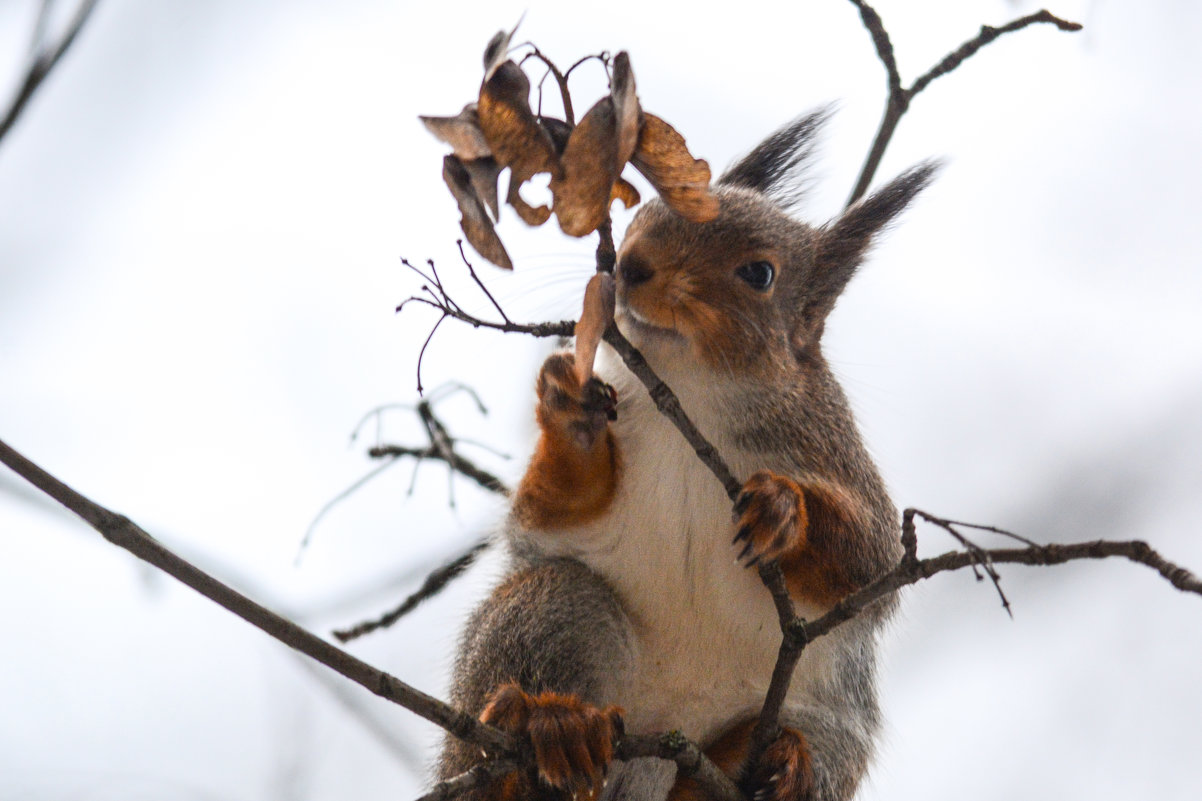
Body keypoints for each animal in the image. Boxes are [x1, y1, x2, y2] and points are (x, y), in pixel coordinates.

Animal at [437, 110, 932, 798]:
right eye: (650, 205)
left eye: (759, 273)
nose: (631, 263)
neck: (688, 391)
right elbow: (545, 516)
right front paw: (569, 411)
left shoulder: (828, 446)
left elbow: (871, 560)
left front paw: (784, 511)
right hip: (551, 610)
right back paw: (548, 725)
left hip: (829, 721)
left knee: (803, 746)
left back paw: (778, 761)